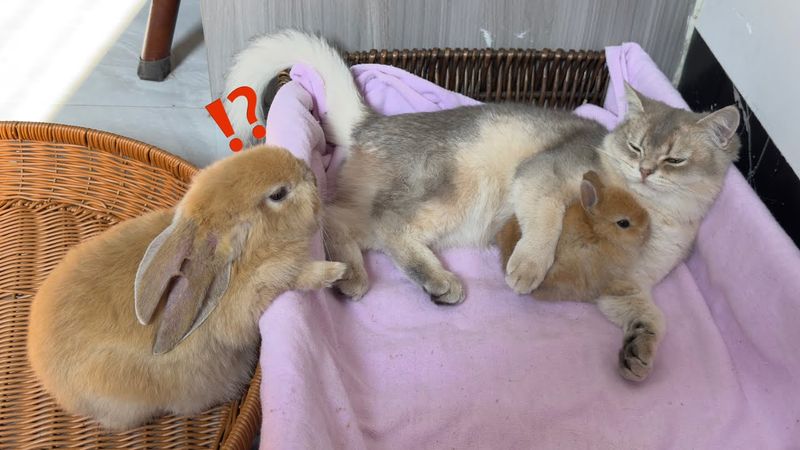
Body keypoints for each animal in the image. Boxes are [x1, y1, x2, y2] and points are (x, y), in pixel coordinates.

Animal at [27, 144, 347, 431]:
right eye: (278, 194)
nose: (311, 174)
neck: (238, 255)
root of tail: (50, 381)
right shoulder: (255, 295)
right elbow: (290, 277)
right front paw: (334, 271)